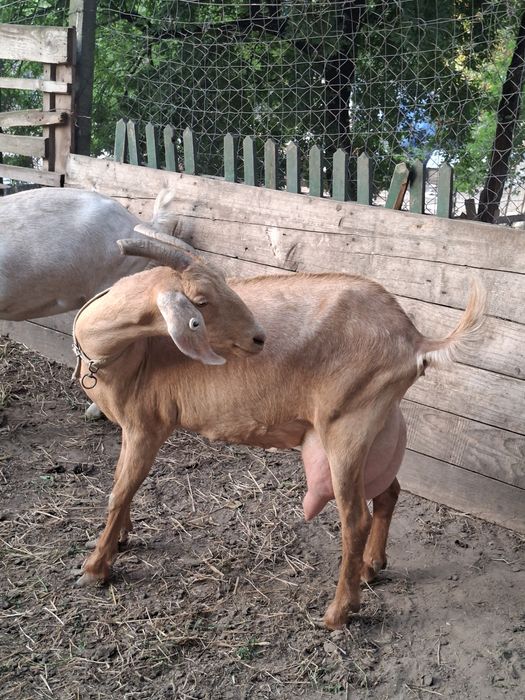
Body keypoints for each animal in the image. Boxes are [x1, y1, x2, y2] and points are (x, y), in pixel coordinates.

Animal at [73, 238, 485, 629]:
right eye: (201, 301)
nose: (258, 338)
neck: (119, 350)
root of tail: (414, 339)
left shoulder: (146, 424)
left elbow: (119, 491)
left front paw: (94, 568)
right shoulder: (130, 428)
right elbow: (124, 484)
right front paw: (121, 538)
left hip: (346, 430)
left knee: (355, 520)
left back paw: (339, 612)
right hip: (379, 428)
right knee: (388, 493)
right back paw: (372, 567)